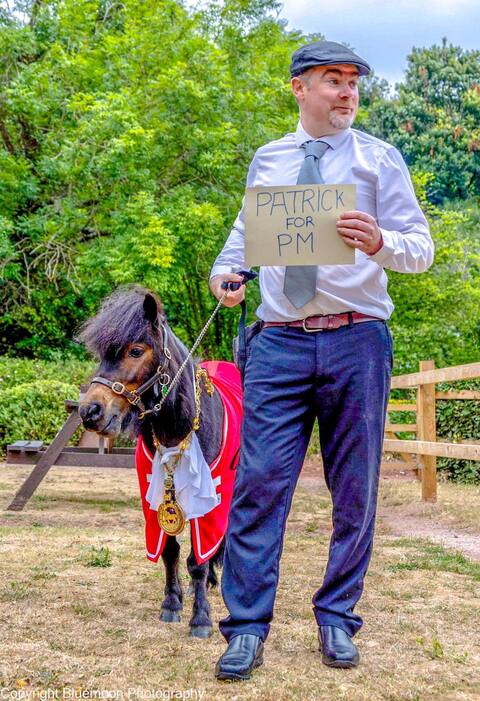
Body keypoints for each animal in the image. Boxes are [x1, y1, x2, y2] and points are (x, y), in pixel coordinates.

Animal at [77, 285, 241, 638]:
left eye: (136, 350)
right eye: (102, 354)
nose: (90, 411)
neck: (177, 428)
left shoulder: (209, 501)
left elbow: (198, 559)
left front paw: (200, 619)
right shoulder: (156, 498)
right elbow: (170, 551)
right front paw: (171, 603)